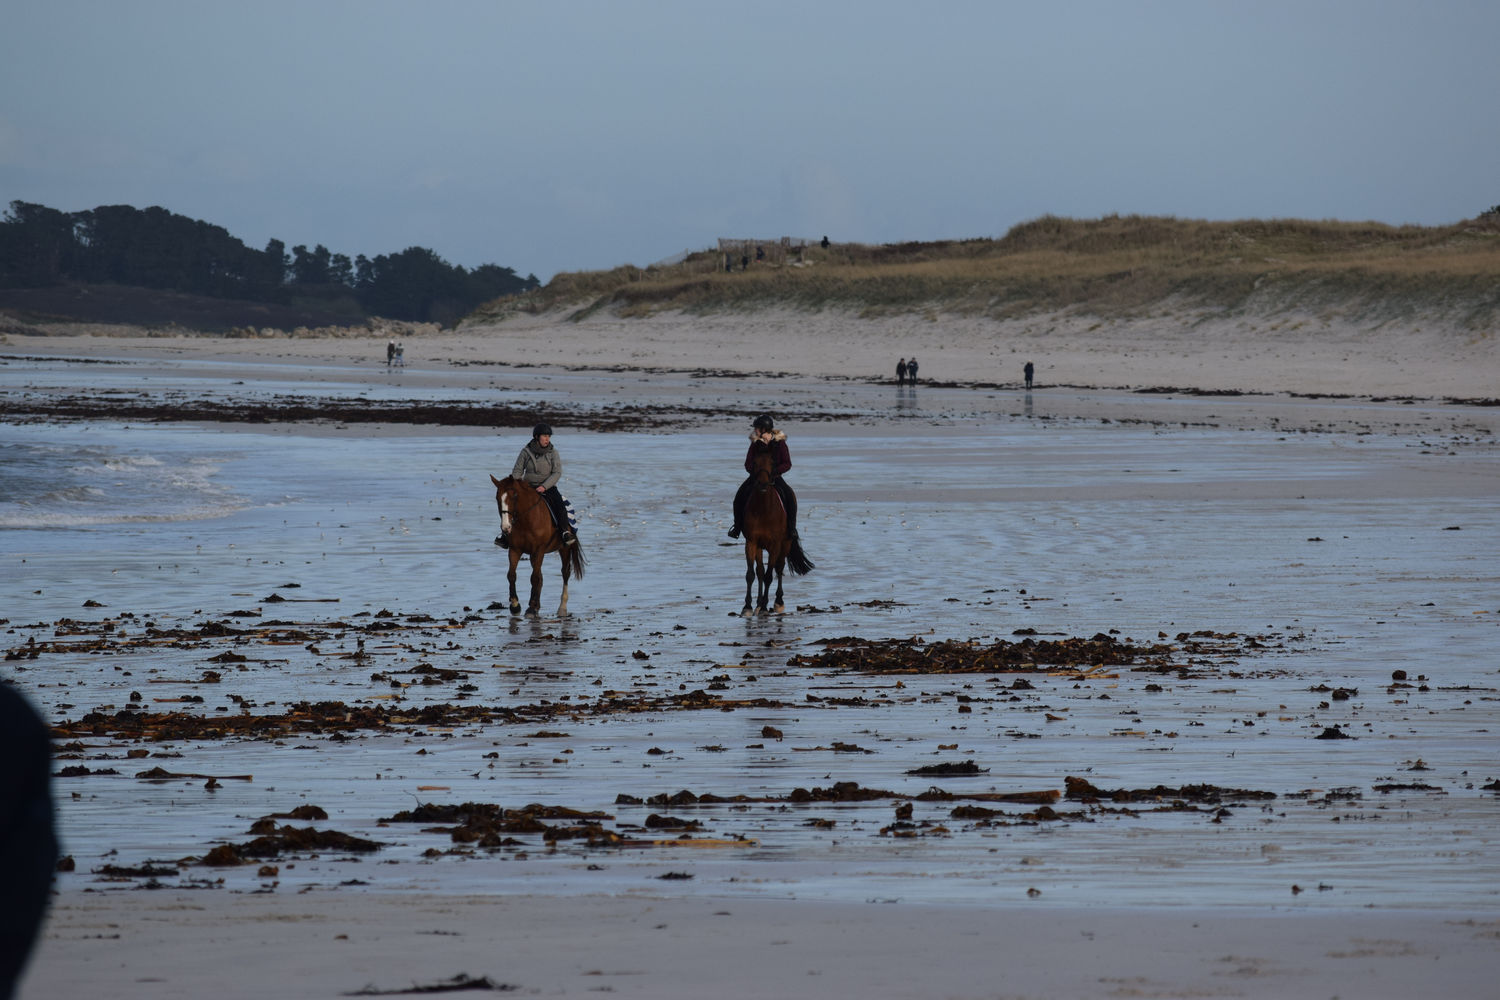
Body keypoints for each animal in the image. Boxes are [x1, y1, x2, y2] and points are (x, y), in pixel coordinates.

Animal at [492, 476, 585, 617]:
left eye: (514, 496)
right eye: (497, 498)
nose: (506, 527)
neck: (526, 520)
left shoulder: (539, 550)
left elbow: (534, 578)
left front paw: (531, 607)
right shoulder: (515, 550)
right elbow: (512, 575)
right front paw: (515, 605)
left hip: (564, 548)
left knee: (565, 572)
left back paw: (562, 608)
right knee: (540, 576)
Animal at [744, 446, 816, 617]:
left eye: (773, 462)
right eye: (754, 462)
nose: (763, 484)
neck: (763, 509)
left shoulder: (775, 544)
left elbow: (770, 575)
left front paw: (765, 607)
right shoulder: (751, 542)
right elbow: (751, 574)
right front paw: (748, 607)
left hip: (786, 544)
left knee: (779, 568)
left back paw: (778, 602)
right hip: (760, 546)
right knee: (760, 571)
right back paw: (758, 604)